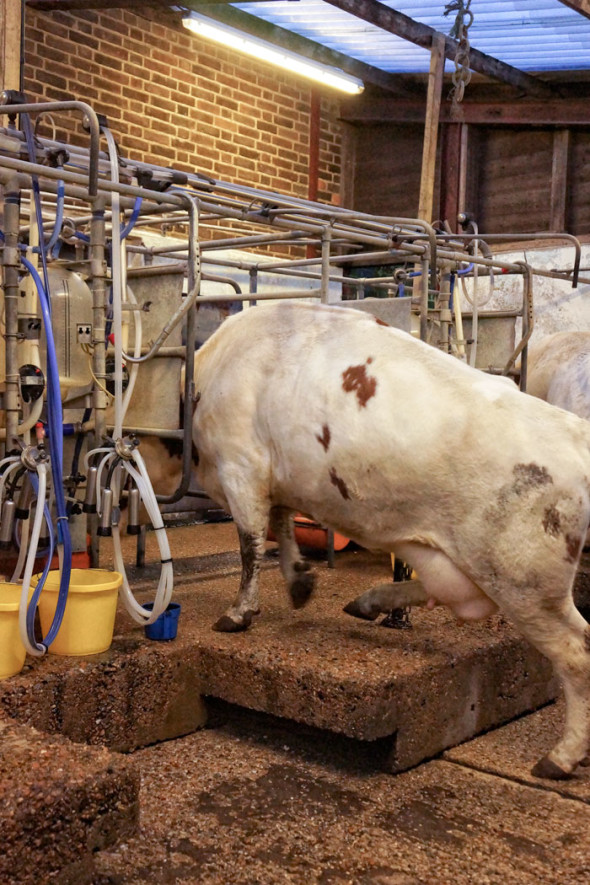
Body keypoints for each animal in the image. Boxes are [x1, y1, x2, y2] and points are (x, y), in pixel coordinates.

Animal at [194, 298, 590, 780]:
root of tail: (577, 433)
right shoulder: (281, 478)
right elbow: (283, 527)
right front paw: (300, 581)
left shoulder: (240, 466)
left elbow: (250, 543)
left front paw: (238, 613)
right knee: (461, 595)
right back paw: (369, 602)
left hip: (527, 581)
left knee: (576, 652)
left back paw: (560, 756)